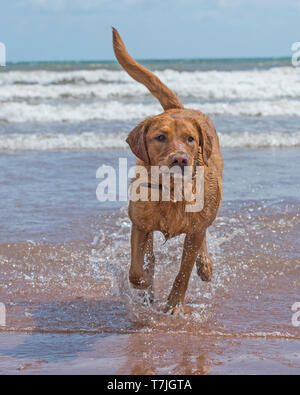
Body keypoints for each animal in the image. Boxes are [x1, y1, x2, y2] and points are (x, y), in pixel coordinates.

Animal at [112, 27, 223, 316]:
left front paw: (174, 304)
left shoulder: (194, 232)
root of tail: (178, 108)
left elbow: (183, 272)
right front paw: (144, 284)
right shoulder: (140, 224)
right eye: (160, 137)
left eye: (190, 139)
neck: (172, 192)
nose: (180, 158)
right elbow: (137, 268)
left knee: (202, 237)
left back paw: (205, 265)